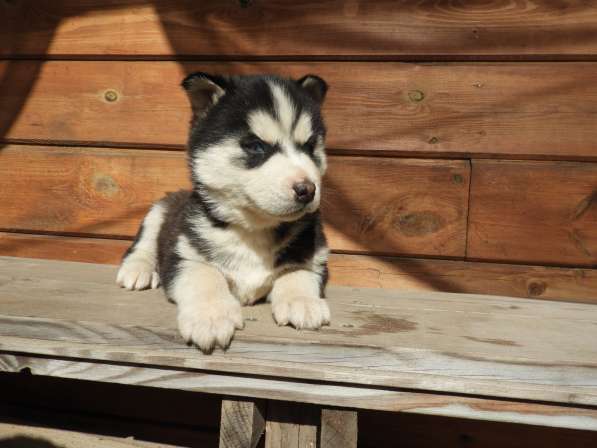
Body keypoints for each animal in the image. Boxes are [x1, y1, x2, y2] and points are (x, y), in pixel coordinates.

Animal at [116, 72, 330, 354]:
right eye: (256, 146)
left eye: (309, 146)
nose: (307, 189)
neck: (253, 229)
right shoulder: (184, 252)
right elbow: (205, 275)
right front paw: (211, 316)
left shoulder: (314, 251)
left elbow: (298, 271)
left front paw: (303, 301)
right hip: (159, 211)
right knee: (143, 244)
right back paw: (137, 270)